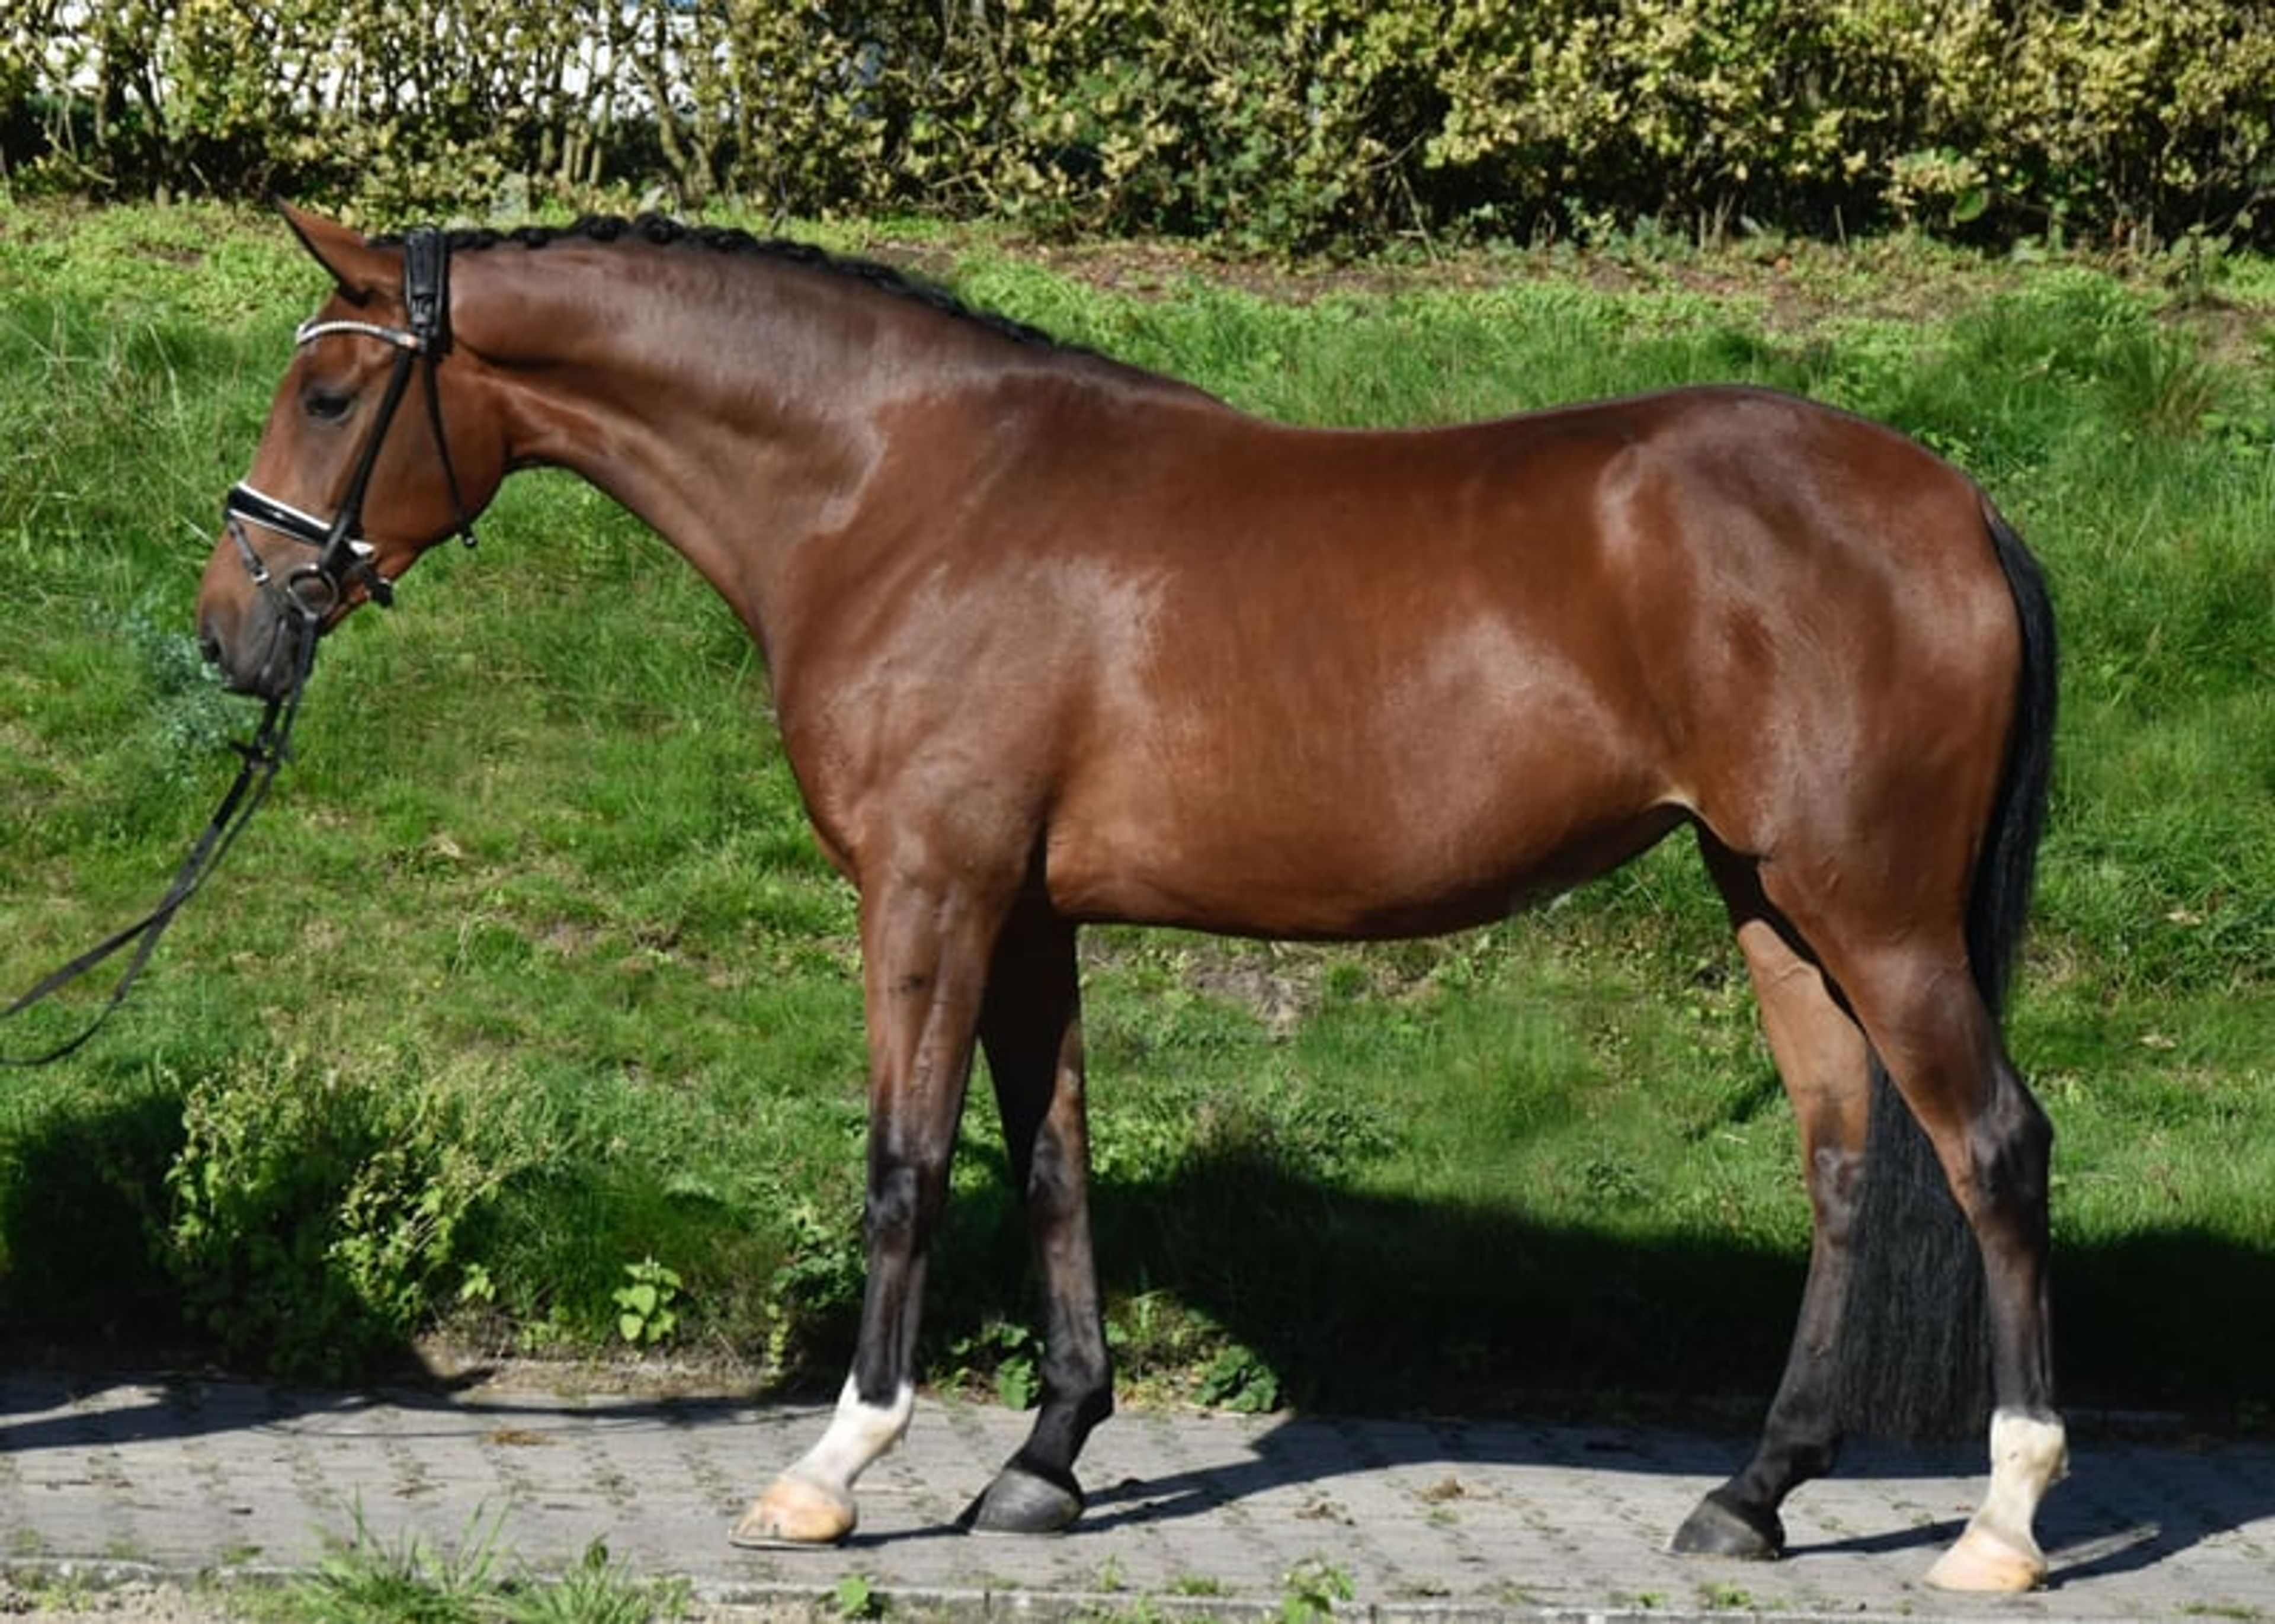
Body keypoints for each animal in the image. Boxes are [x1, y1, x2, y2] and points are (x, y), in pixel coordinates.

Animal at [196, 206, 2064, 1594]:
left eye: (334, 396)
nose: (231, 627)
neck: (897, 489)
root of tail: (1955, 501)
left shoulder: (930, 895)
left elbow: (904, 1167)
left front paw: (831, 1468)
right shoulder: (1027, 918)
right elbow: (1049, 1170)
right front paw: (1044, 1461)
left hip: (1870, 908)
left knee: (1991, 1149)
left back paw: (1997, 1520)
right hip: (1772, 900)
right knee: (1842, 1163)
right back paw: (1752, 1494)